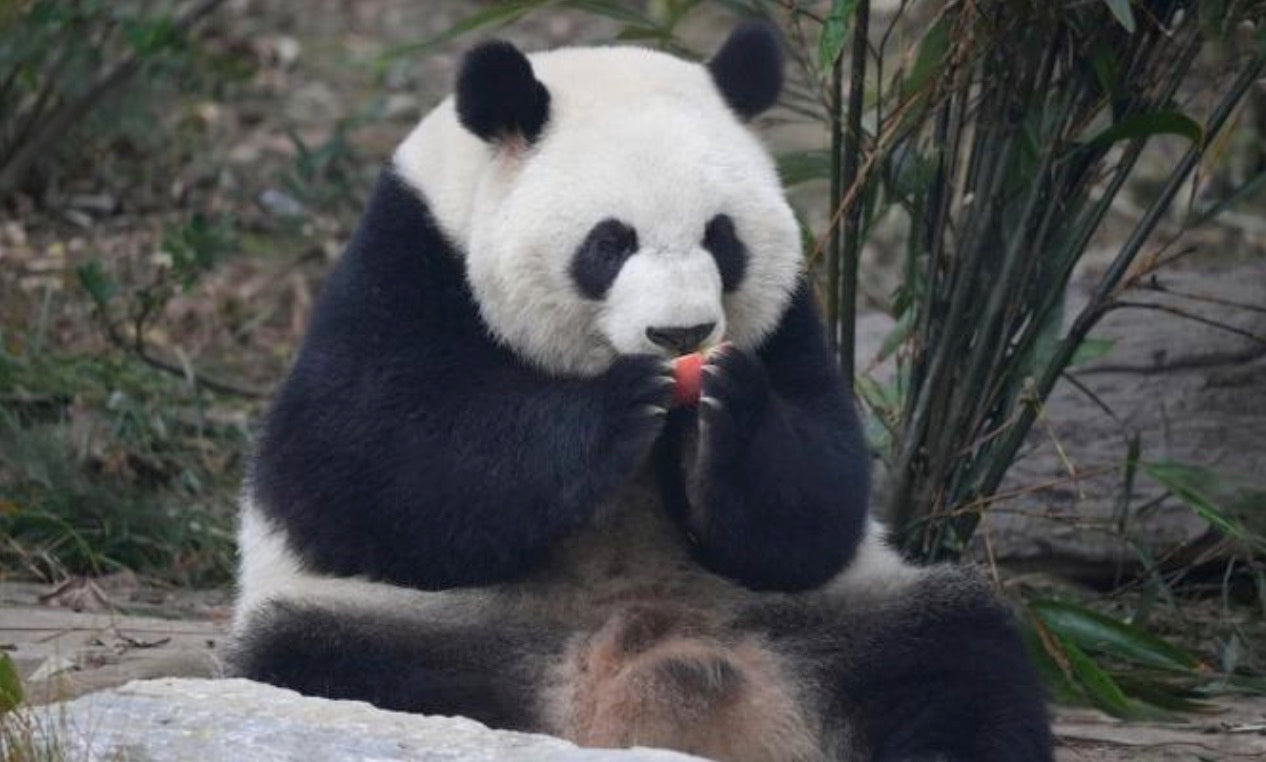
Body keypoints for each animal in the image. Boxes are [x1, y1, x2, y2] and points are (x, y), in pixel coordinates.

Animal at [230, 23, 1053, 762]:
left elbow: (822, 499)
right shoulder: (409, 259)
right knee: (330, 671)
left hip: (834, 619)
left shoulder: (788, 317)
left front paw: (727, 416)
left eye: (722, 237)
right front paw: (613, 411)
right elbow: (363, 468)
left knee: (956, 660)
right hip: (420, 631)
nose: (681, 332)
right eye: (609, 243)